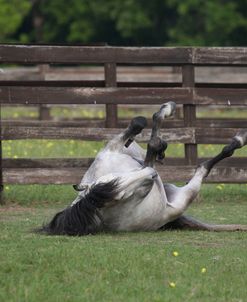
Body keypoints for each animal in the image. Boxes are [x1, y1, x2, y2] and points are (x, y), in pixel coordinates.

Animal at [36, 102, 247, 235]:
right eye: (121, 195)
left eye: (110, 181)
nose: (152, 176)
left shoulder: (113, 148)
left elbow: (139, 123)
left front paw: (166, 112)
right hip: (182, 199)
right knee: (203, 168)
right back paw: (239, 139)